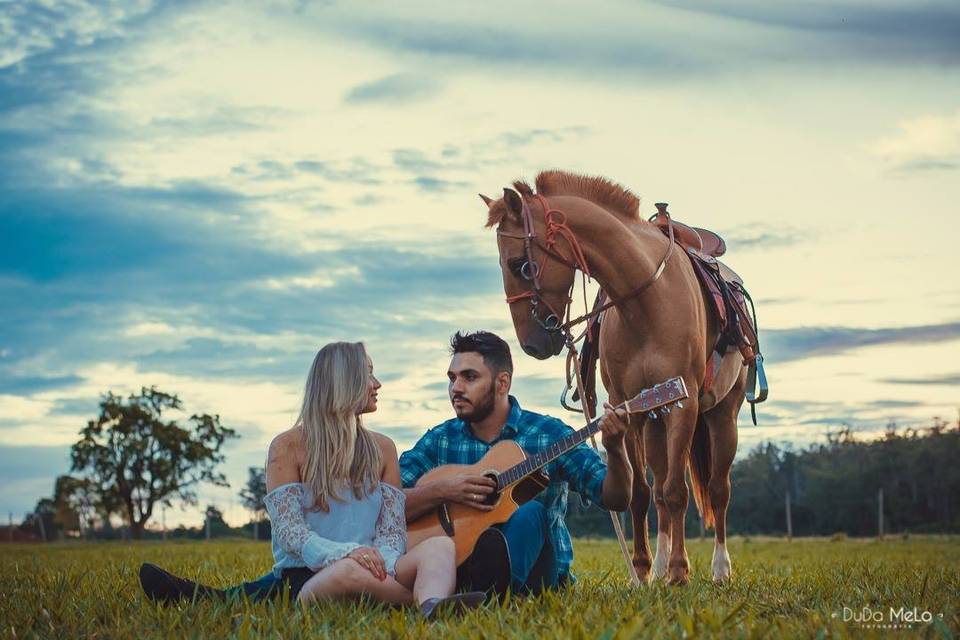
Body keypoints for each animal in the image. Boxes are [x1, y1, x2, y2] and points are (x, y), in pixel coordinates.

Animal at [480, 171, 752, 584]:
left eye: (519, 265)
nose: (531, 344)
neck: (646, 301)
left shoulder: (683, 402)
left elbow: (678, 491)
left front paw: (679, 572)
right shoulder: (631, 408)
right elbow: (641, 494)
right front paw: (642, 570)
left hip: (724, 414)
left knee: (719, 490)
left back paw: (719, 568)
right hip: (655, 425)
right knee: (659, 494)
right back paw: (659, 564)